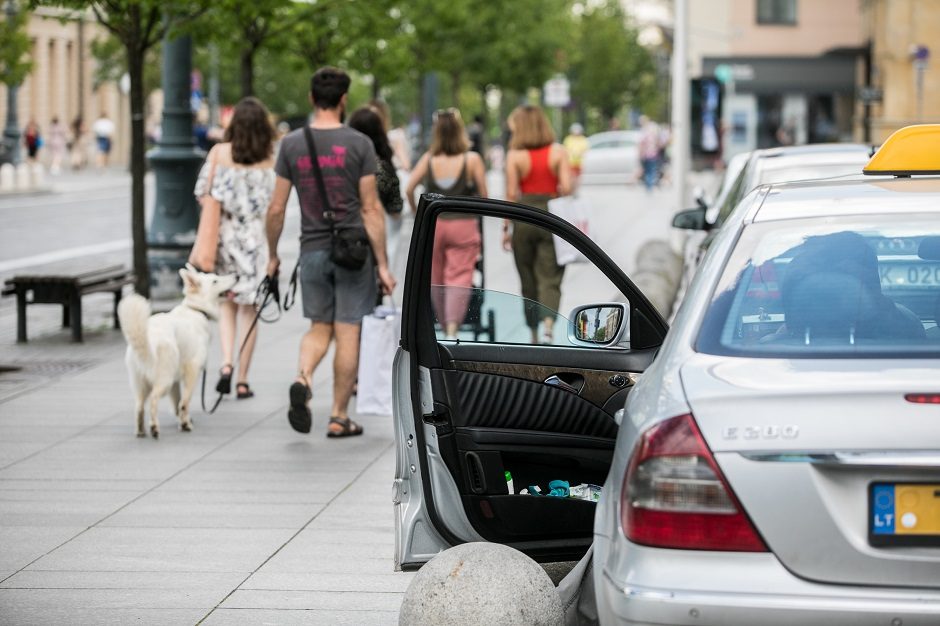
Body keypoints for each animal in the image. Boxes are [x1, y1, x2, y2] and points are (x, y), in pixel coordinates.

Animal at [117, 262, 237, 434]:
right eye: (215, 280)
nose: (237, 276)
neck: (196, 310)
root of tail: (147, 339)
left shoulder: (175, 381)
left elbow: (177, 402)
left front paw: (182, 419)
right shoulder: (192, 370)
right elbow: (184, 402)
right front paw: (185, 423)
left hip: (141, 384)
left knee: (139, 406)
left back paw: (141, 431)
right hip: (164, 380)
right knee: (153, 400)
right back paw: (154, 428)